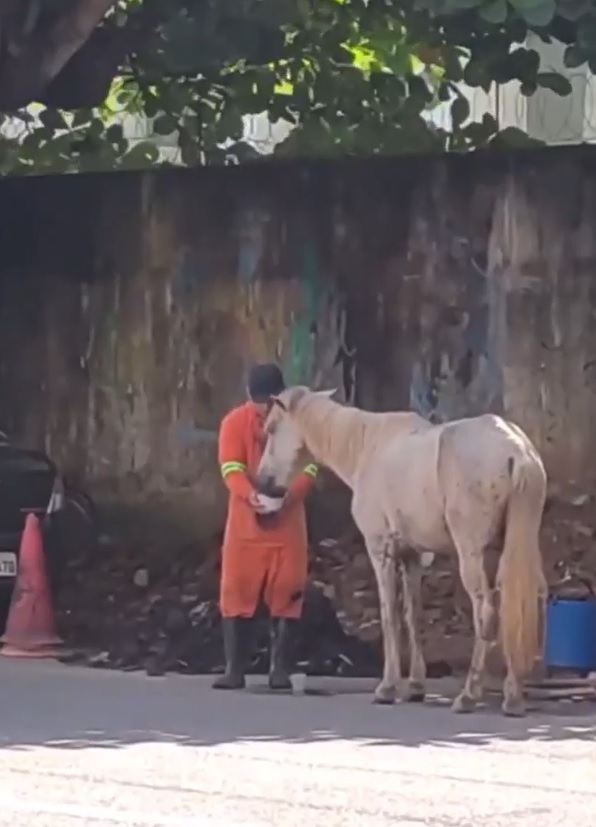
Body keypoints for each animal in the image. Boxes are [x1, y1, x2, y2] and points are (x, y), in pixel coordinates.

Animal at [254, 388, 548, 720]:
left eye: (271, 429)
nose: (262, 482)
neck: (367, 447)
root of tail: (517, 451)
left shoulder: (380, 550)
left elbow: (389, 617)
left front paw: (388, 687)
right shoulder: (412, 557)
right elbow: (412, 615)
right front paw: (416, 686)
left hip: (472, 553)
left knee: (486, 612)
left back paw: (469, 695)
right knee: (527, 602)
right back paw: (514, 695)